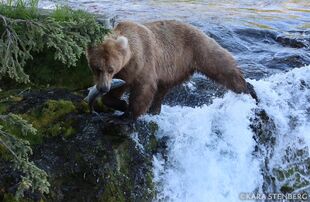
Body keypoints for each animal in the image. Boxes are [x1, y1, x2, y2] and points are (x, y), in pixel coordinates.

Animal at [86, 20, 256, 124]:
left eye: (110, 68)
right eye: (96, 68)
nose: (102, 88)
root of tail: (200, 30)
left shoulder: (143, 63)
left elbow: (143, 89)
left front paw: (125, 115)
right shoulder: (125, 72)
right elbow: (117, 91)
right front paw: (120, 104)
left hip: (199, 49)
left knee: (222, 67)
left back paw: (248, 90)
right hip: (175, 68)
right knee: (162, 89)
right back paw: (155, 109)